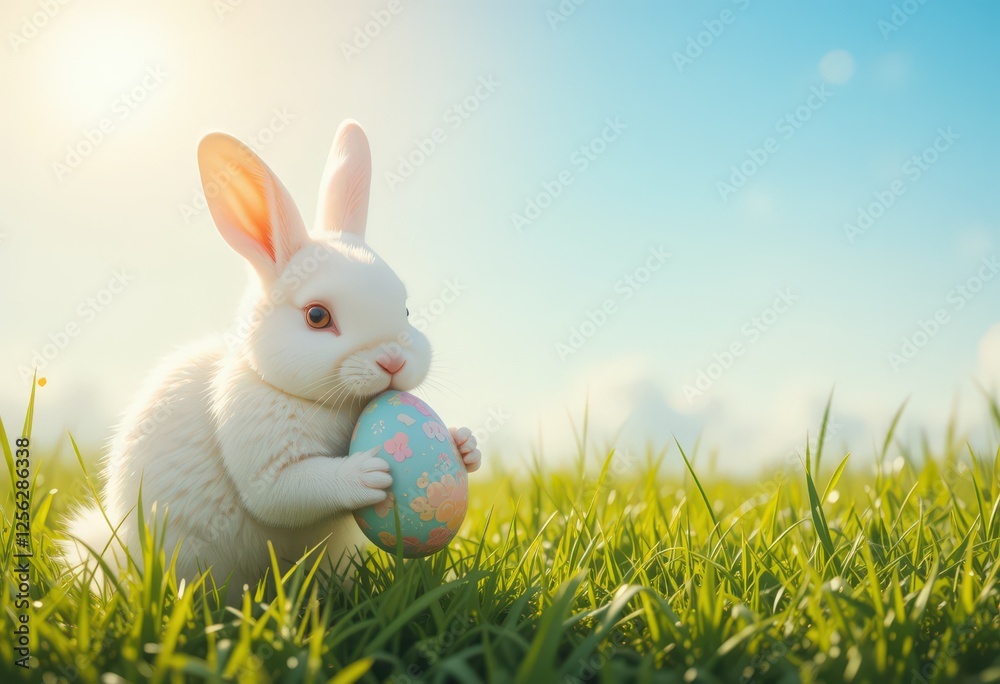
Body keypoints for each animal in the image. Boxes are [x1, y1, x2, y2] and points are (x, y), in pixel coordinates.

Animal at [62, 120, 482, 602]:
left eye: (407, 310)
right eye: (317, 316)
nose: (392, 361)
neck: (331, 404)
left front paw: (465, 445)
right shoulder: (264, 461)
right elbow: (291, 491)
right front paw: (366, 473)